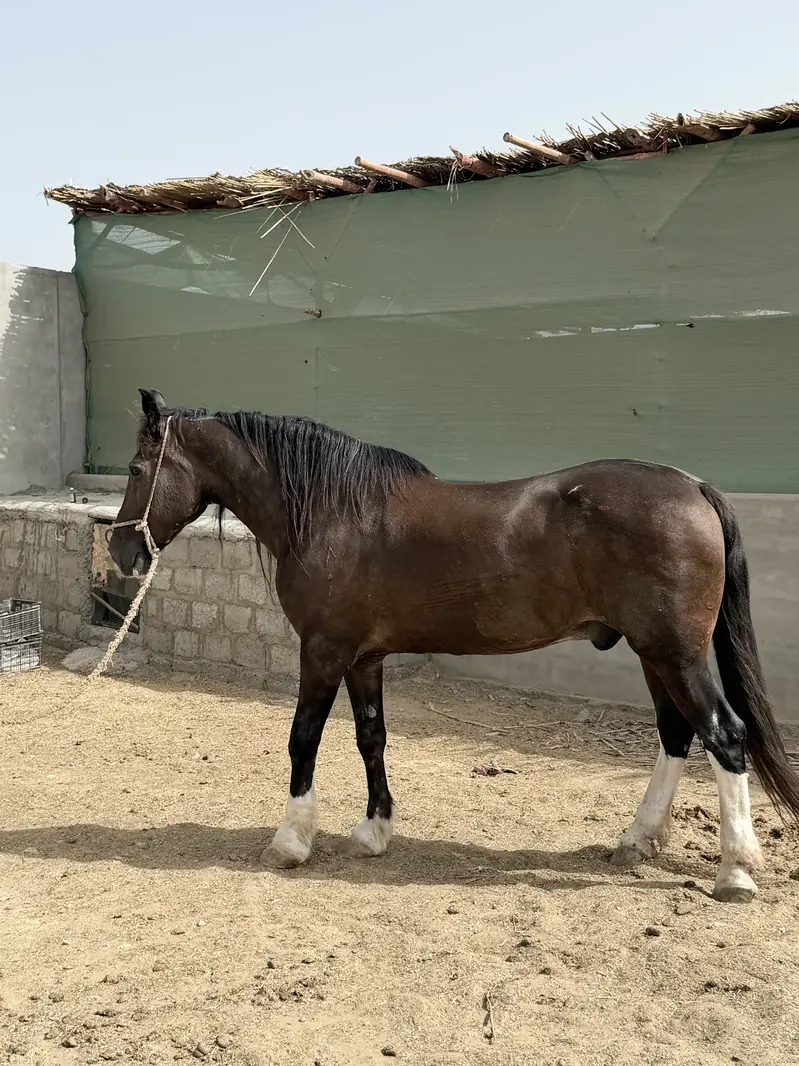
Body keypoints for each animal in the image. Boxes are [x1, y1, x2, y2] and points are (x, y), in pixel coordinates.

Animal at [109, 388, 799, 903]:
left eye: (137, 469)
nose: (121, 552)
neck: (335, 512)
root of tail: (693, 486)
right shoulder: (363, 658)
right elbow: (371, 737)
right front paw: (373, 831)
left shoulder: (324, 651)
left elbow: (303, 738)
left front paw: (291, 841)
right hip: (654, 653)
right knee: (678, 735)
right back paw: (637, 840)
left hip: (675, 654)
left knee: (724, 735)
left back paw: (735, 870)